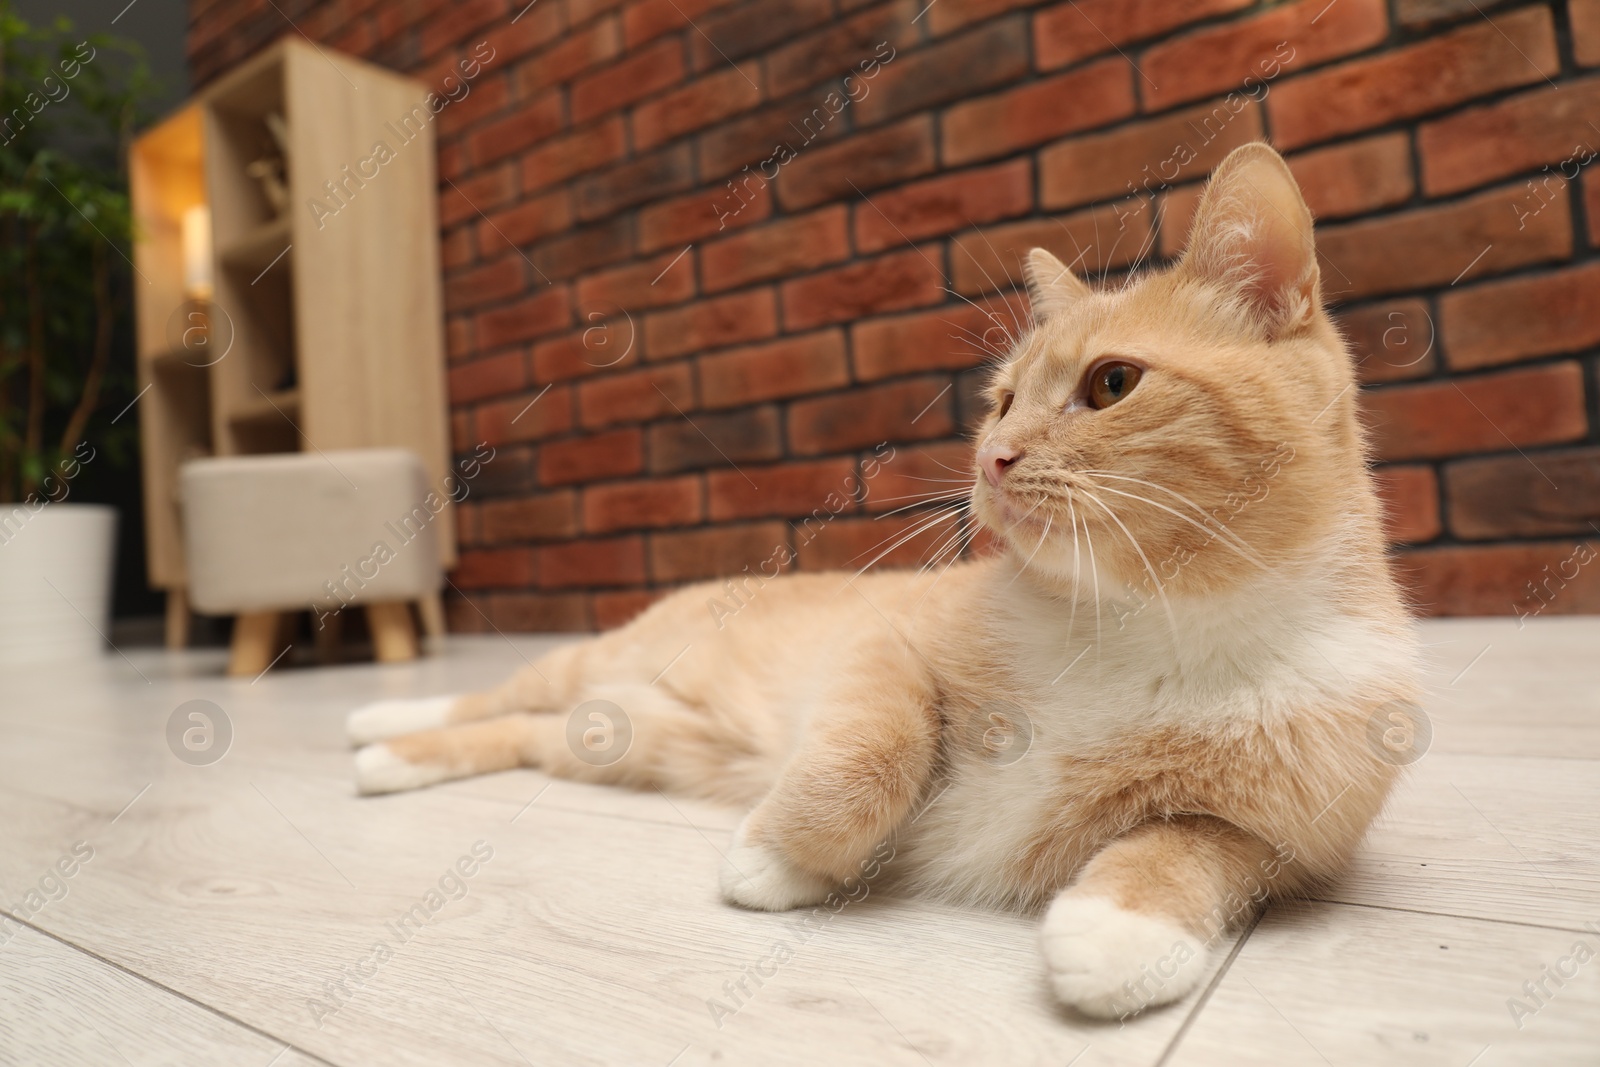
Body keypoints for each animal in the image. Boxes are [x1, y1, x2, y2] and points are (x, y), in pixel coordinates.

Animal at [353, 141, 1427, 1017]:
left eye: (1112, 384)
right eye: (1001, 399)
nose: (992, 456)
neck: (1150, 627)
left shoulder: (1288, 837)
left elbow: (1194, 847)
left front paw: (1123, 930)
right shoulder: (885, 644)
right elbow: (870, 759)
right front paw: (779, 855)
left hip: (622, 739)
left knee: (523, 732)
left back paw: (388, 760)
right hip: (604, 672)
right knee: (492, 695)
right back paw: (381, 725)